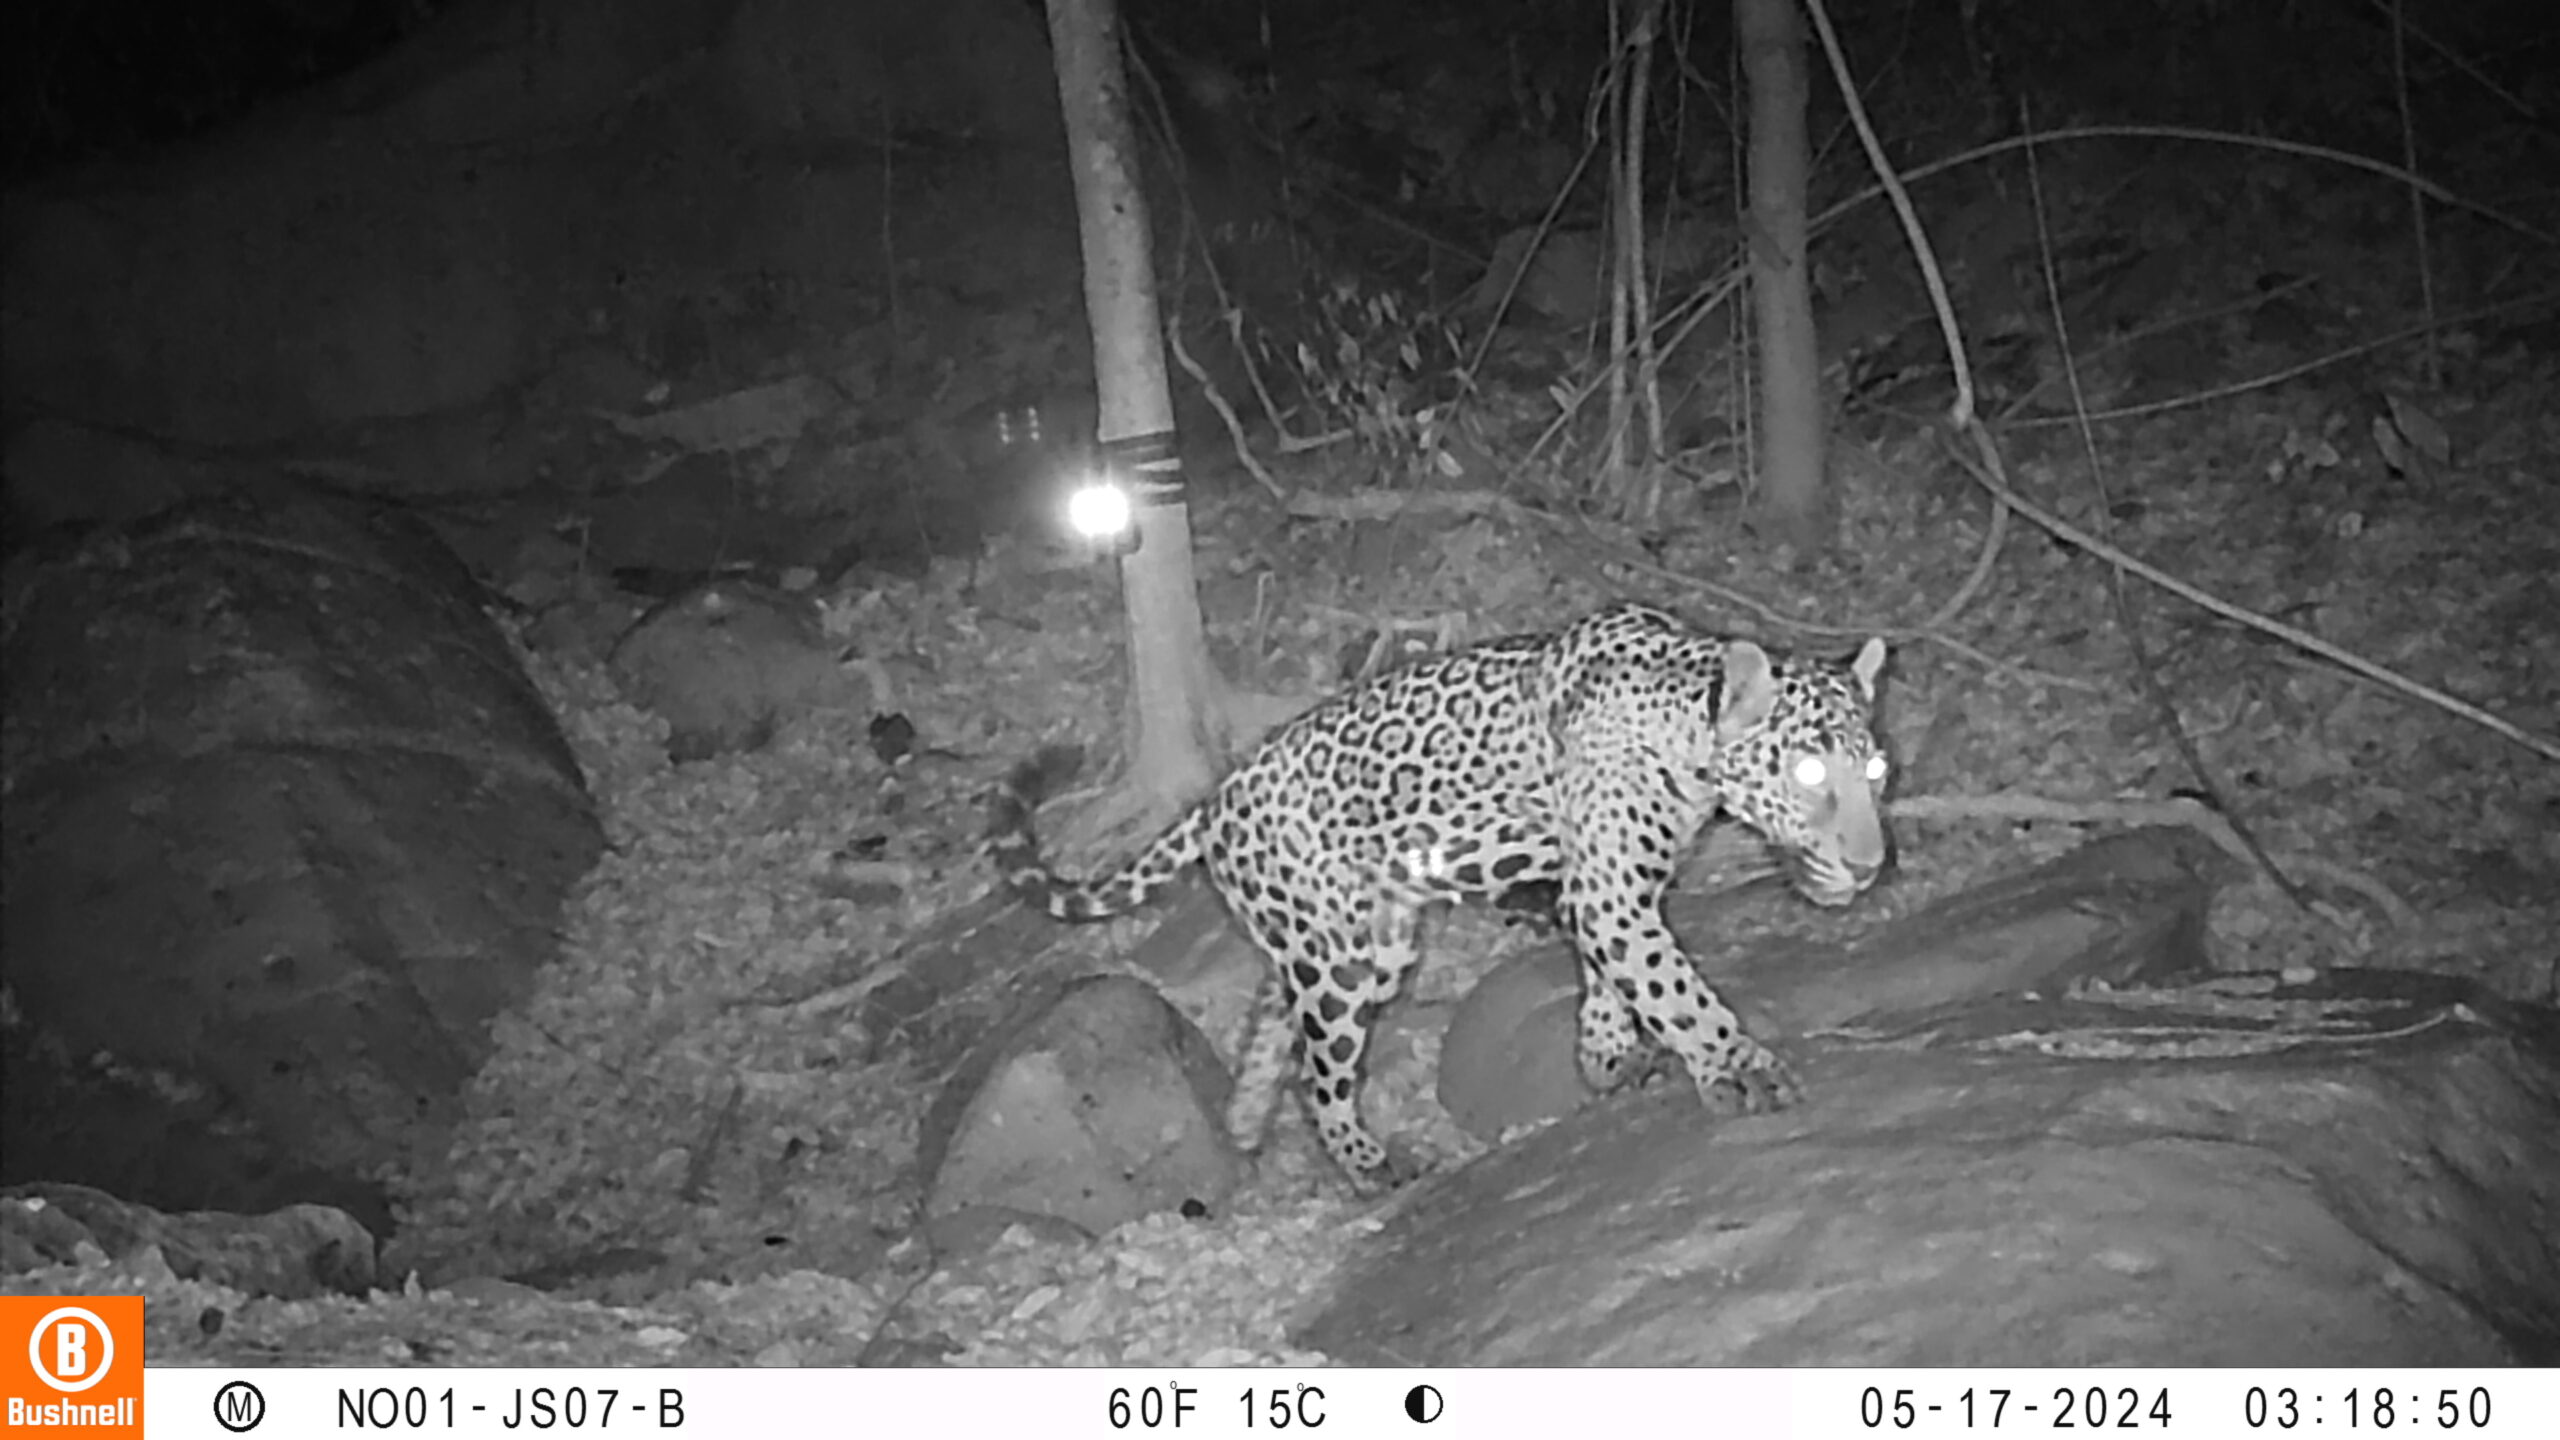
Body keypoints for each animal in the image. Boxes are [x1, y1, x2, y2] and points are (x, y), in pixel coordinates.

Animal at [987, 600, 1892, 1193]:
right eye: (1810, 771)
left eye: (1875, 770)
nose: (1871, 864)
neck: (1688, 735)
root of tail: (1217, 799)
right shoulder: (1612, 892)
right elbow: (1675, 987)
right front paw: (1742, 1070)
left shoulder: (1607, 886)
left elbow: (1616, 977)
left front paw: (1606, 1055)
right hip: (1343, 964)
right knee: (1320, 1073)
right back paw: (1369, 1166)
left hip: (1360, 942)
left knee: (1275, 1014)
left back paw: (1244, 1125)